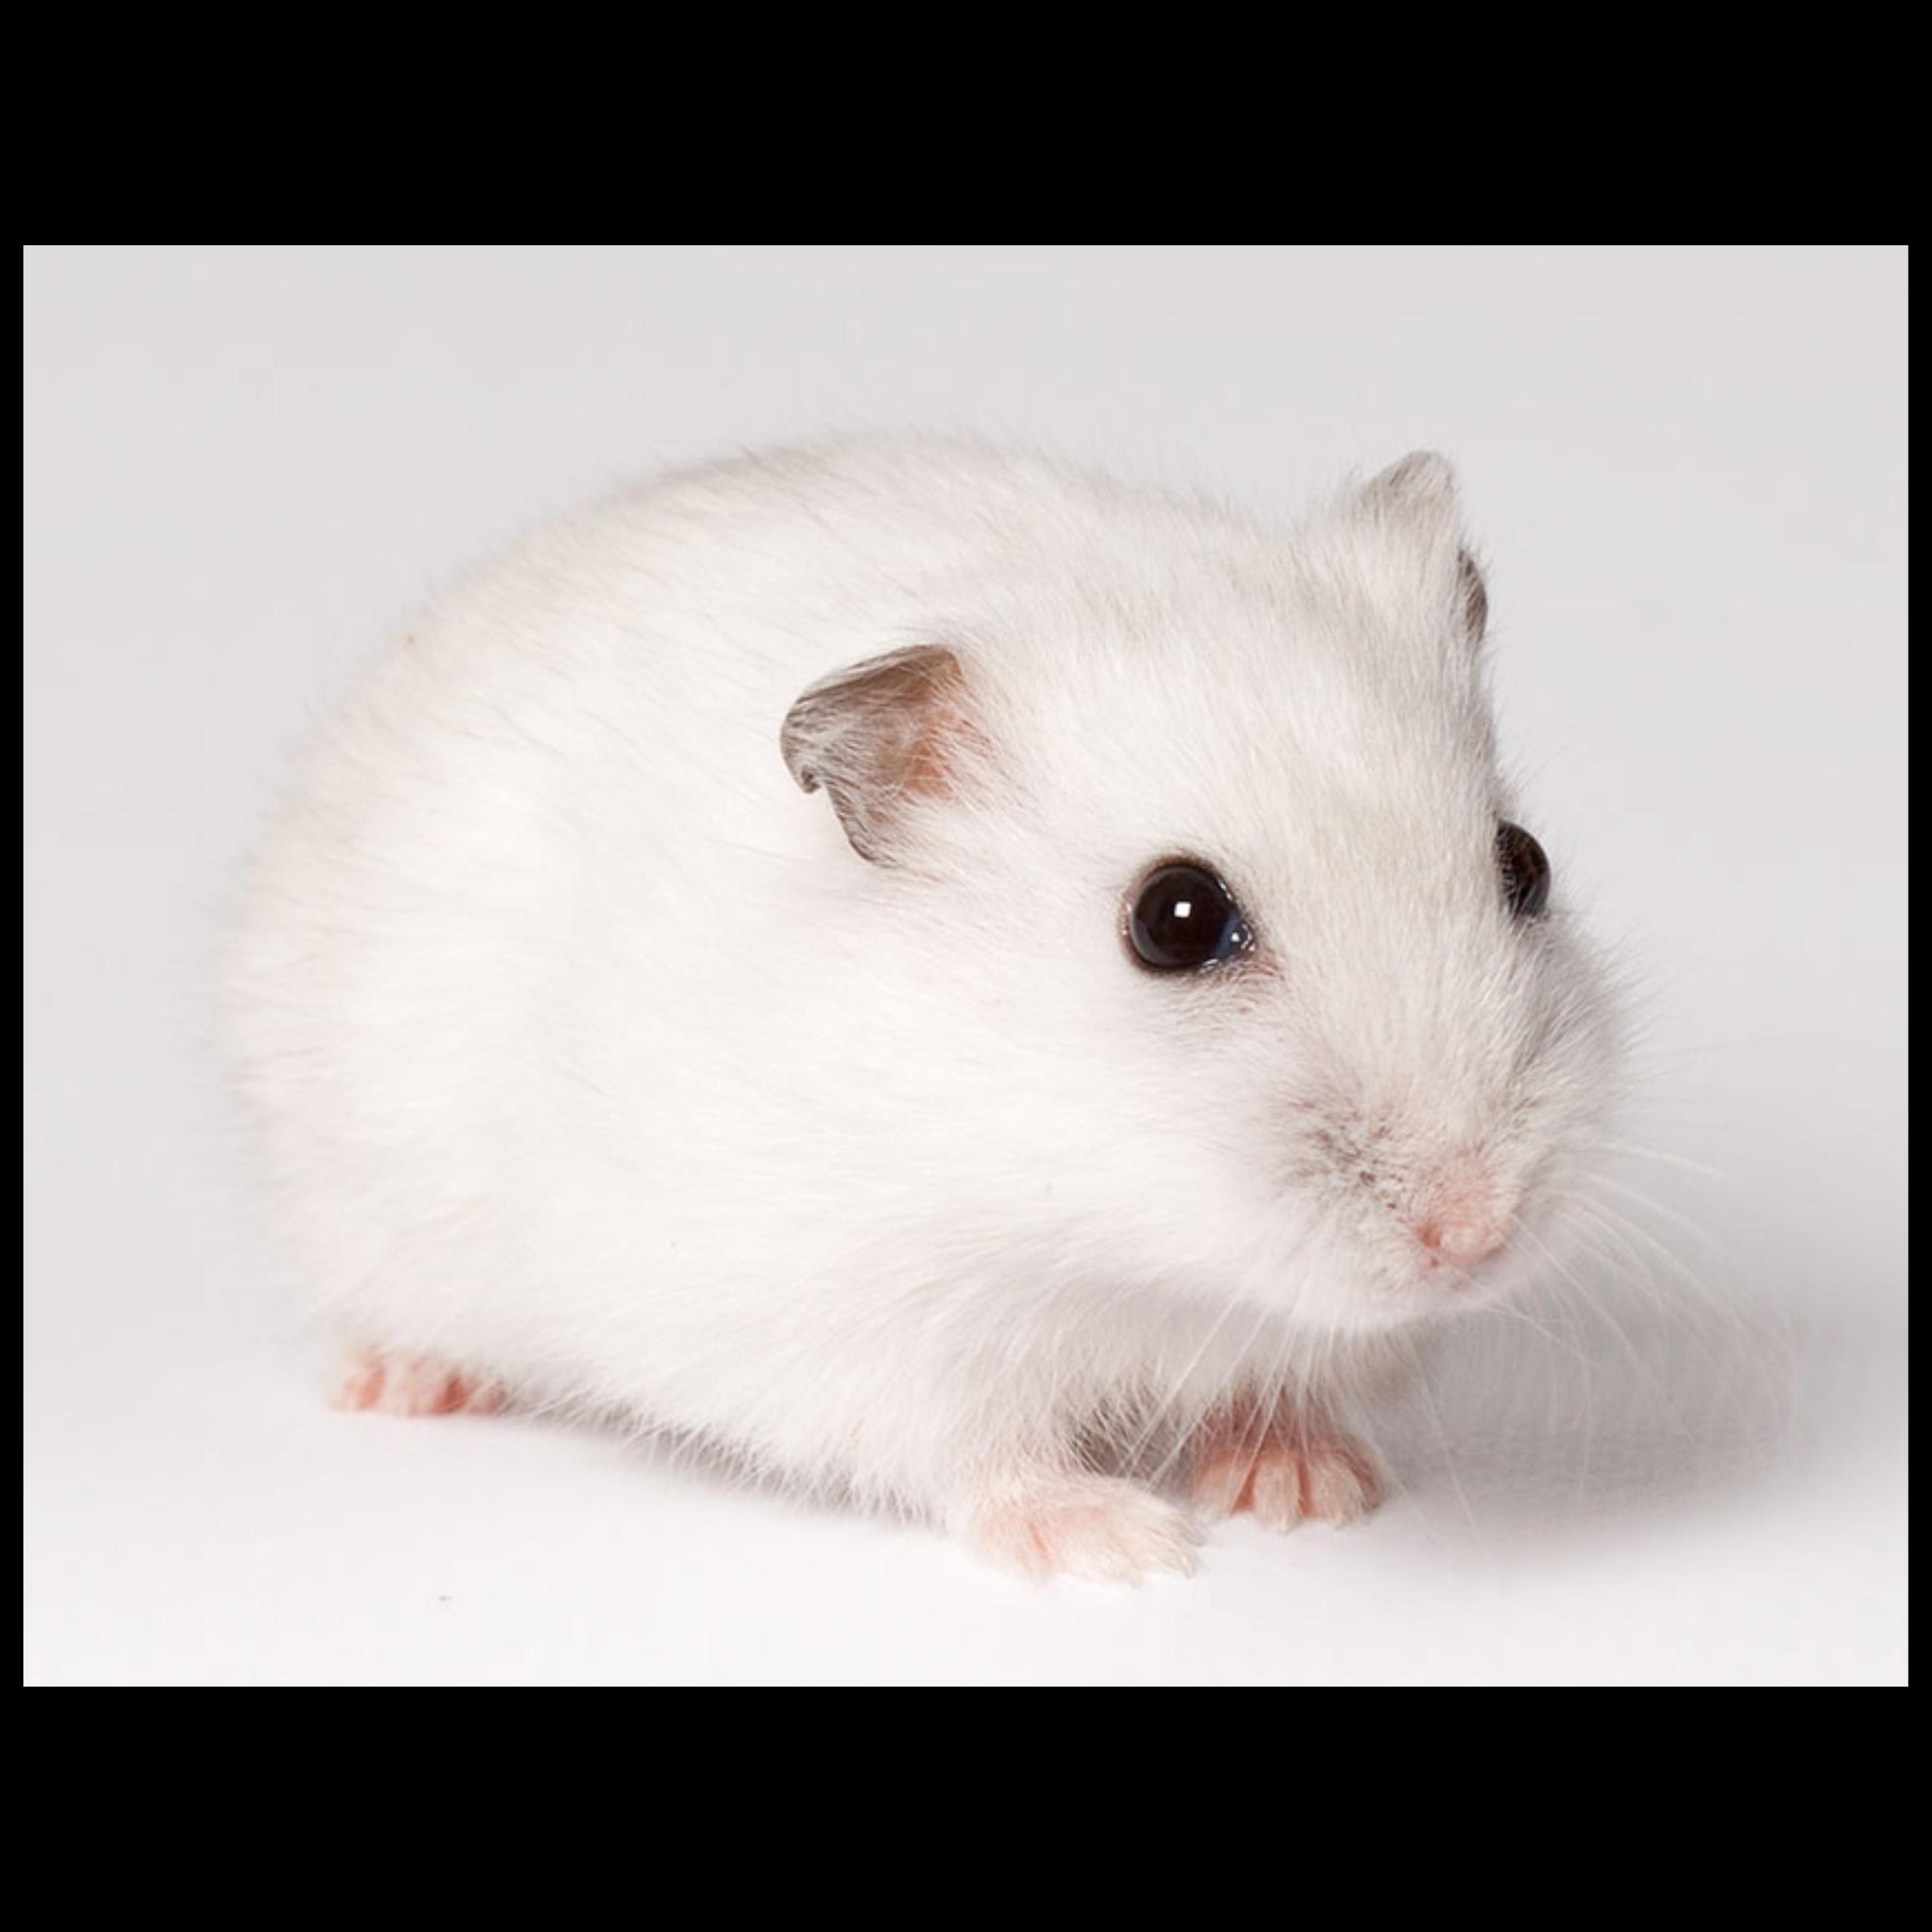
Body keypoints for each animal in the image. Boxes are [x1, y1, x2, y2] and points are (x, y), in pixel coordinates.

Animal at [219, 434, 1620, 1581]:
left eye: (1526, 864)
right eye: (1172, 921)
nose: (1475, 1234)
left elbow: (1277, 1392)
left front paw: (1308, 1490)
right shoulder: (856, 1330)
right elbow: (975, 1452)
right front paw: (1123, 1549)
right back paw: (404, 1385)